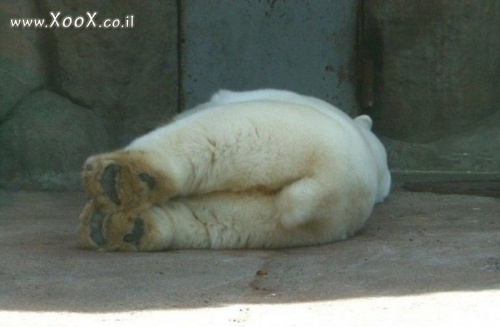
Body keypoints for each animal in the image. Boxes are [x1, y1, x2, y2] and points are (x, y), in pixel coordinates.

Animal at [79, 89, 390, 251]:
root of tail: (334, 177)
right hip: (272, 224)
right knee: (212, 219)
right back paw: (123, 226)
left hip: (268, 131)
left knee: (206, 140)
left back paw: (114, 181)